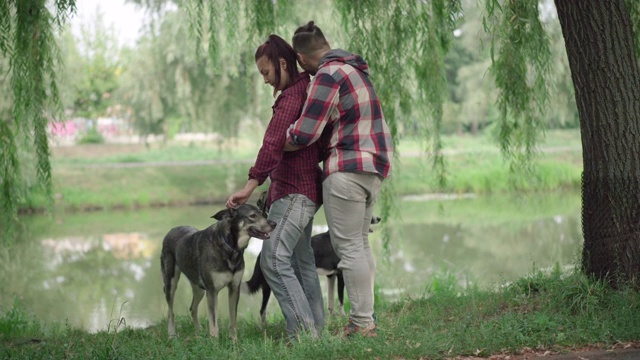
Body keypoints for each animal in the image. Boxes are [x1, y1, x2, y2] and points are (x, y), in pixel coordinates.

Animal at [160, 204, 276, 338]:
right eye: (252, 215)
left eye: (262, 213)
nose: (274, 224)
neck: (230, 246)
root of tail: (171, 230)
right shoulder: (212, 291)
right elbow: (214, 324)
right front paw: (215, 341)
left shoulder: (234, 288)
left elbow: (233, 319)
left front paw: (234, 340)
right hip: (171, 284)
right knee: (171, 311)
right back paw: (172, 334)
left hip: (199, 289)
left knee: (193, 308)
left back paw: (199, 333)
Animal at [241, 215, 380, 328]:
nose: (378, 218)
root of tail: (260, 254)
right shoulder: (341, 275)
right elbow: (340, 300)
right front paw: (343, 316)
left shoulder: (331, 276)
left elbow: (331, 302)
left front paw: (332, 319)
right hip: (268, 285)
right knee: (262, 310)